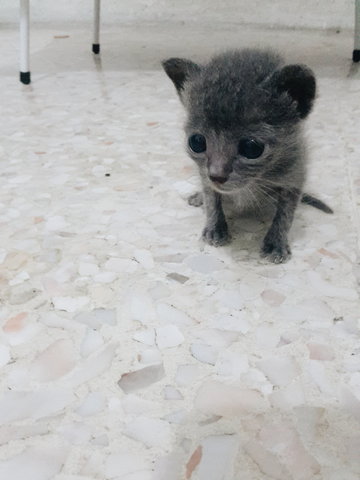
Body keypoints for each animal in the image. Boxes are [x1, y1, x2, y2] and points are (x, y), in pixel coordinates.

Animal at [162, 49, 332, 262]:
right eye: (197, 142)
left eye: (251, 148)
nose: (216, 175)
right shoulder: (205, 176)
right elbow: (212, 199)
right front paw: (215, 227)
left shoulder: (295, 175)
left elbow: (285, 214)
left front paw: (276, 242)